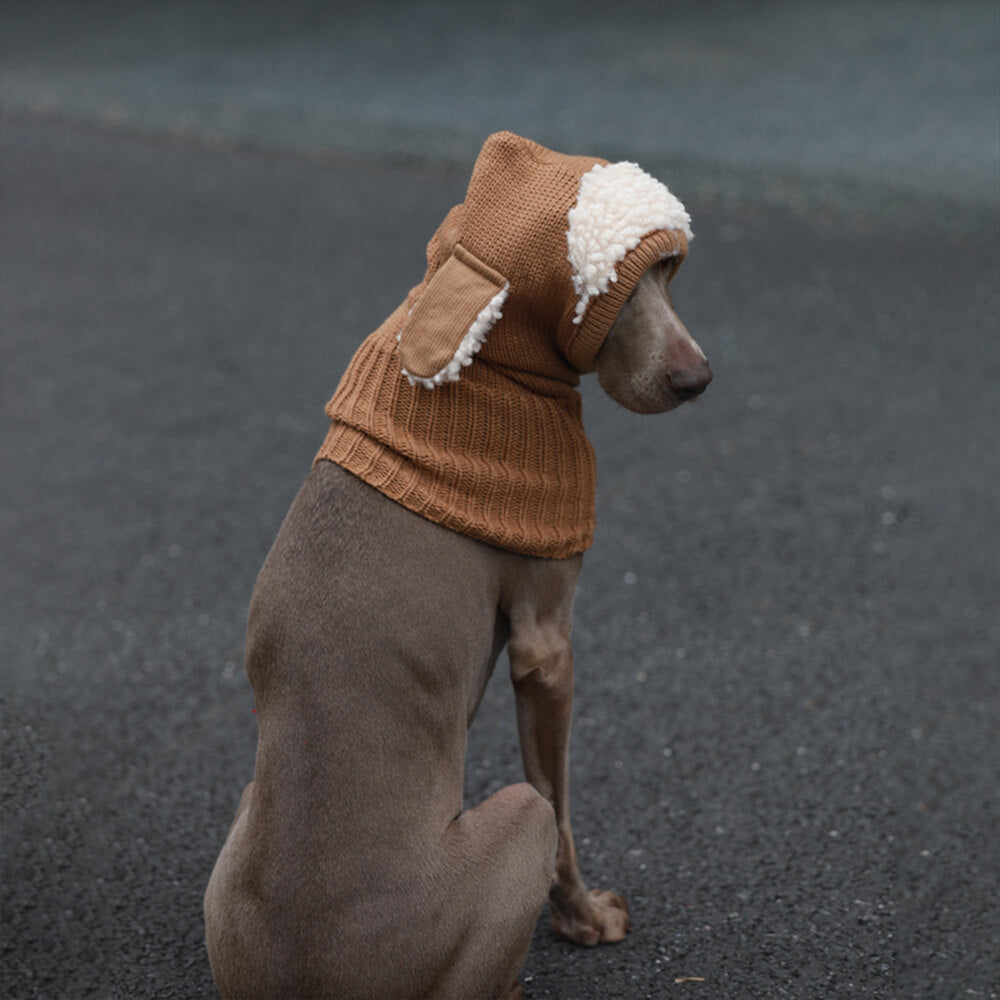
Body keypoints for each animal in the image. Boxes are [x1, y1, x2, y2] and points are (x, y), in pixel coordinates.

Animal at [205, 133, 712, 1000]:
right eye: (611, 289)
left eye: (669, 271)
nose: (696, 379)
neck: (487, 366)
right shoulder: (548, 643)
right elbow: (562, 801)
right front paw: (586, 921)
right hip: (510, 820)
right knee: (535, 823)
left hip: (237, 830)